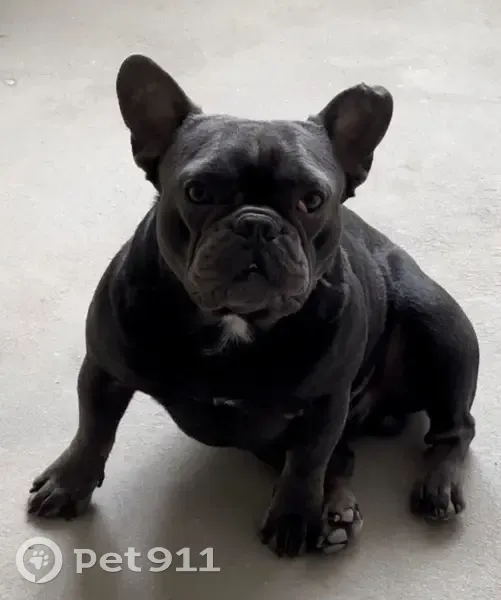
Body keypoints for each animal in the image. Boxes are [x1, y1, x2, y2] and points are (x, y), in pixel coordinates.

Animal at [28, 55, 479, 558]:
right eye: (198, 192)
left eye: (312, 200)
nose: (258, 224)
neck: (233, 323)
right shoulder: (104, 369)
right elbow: (93, 430)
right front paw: (68, 484)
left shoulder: (326, 401)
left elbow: (307, 463)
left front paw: (293, 518)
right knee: (342, 460)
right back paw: (336, 511)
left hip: (440, 327)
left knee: (454, 429)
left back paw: (434, 487)